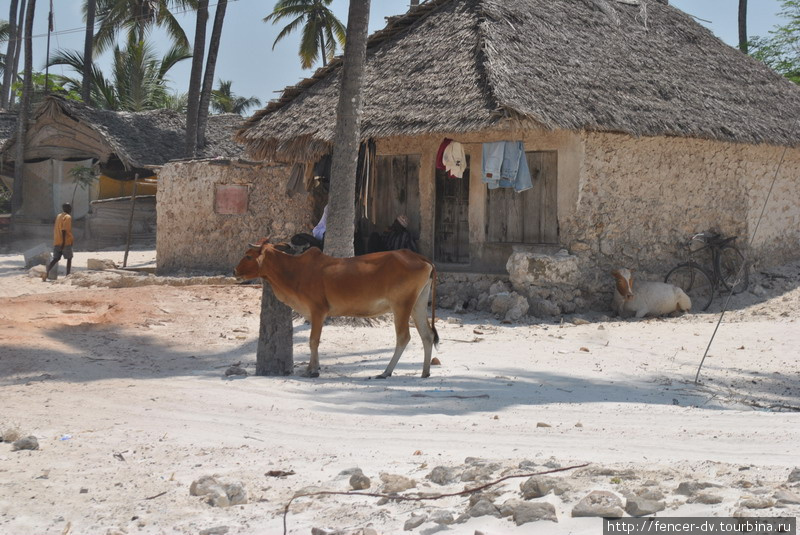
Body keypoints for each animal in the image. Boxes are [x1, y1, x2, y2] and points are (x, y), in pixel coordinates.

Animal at [234, 241, 440, 378]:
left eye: (249, 255)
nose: (235, 271)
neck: (294, 270)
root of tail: (418, 256)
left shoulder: (318, 310)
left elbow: (313, 341)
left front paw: (311, 370)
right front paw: (314, 368)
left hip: (401, 305)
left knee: (404, 337)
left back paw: (386, 371)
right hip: (417, 304)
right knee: (427, 335)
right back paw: (425, 372)